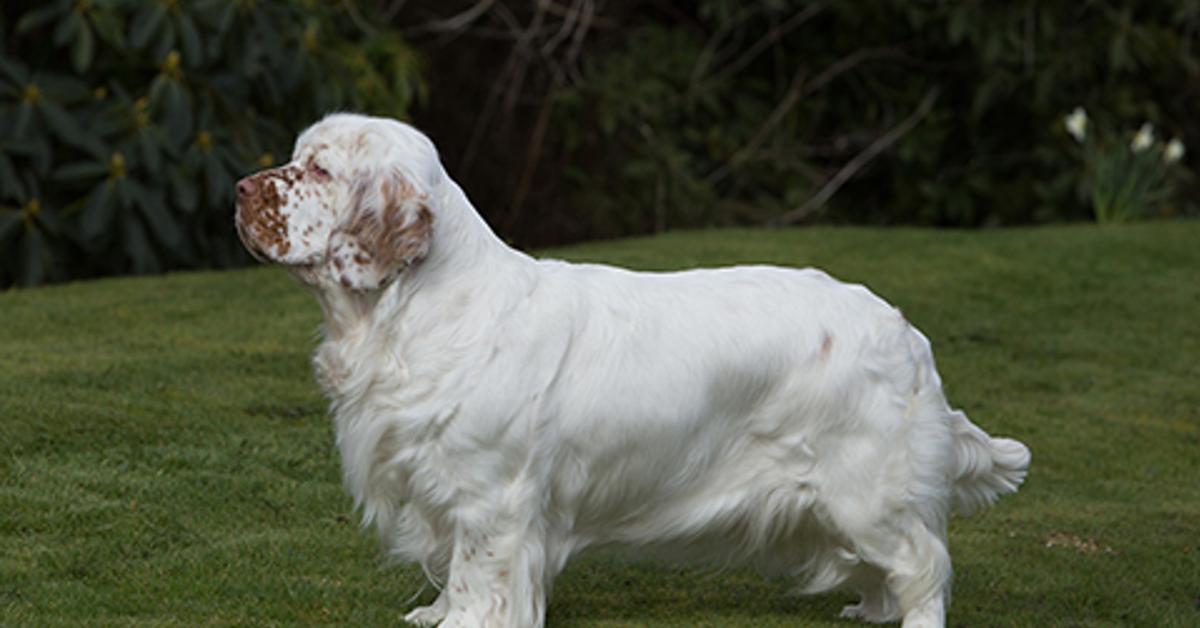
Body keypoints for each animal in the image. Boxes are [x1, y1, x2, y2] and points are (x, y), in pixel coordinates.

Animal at [236, 114, 1032, 628]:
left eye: (318, 169)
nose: (241, 189)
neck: (410, 312)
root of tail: (906, 332)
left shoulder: (491, 498)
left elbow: (478, 578)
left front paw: (460, 620)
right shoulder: (437, 486)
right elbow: (450, 572)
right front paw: (434, 614)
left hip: (866, 489)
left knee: (922, 567)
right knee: (883, 569)